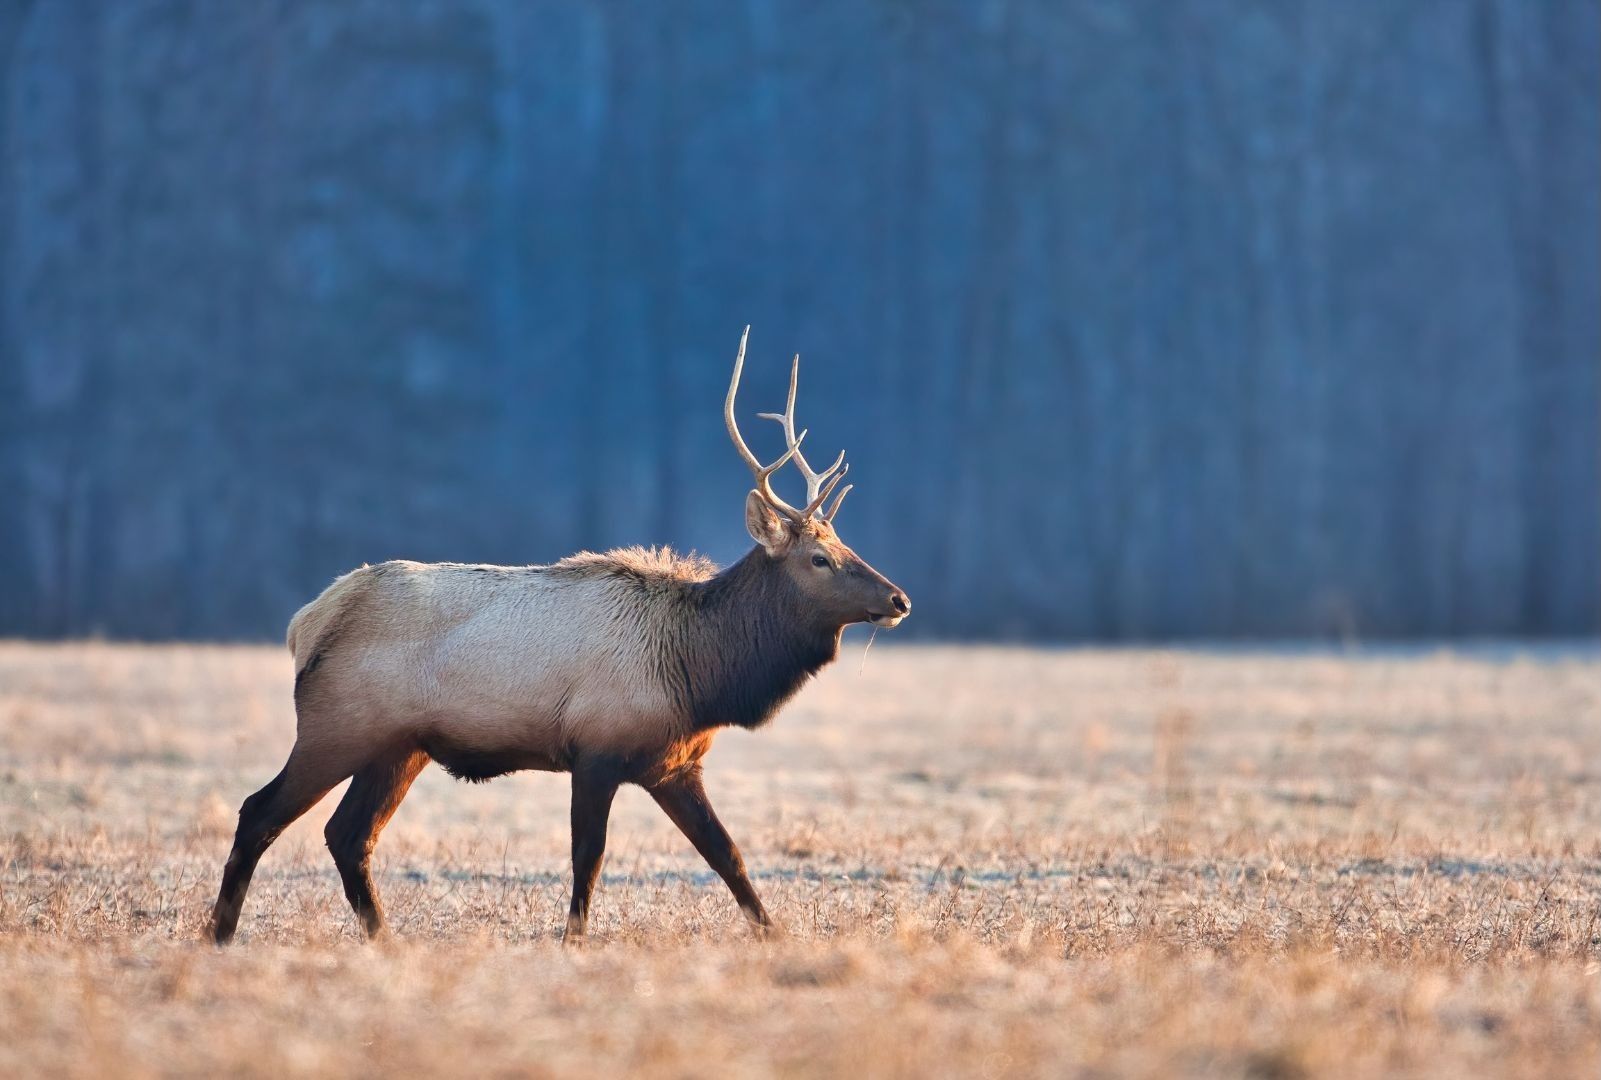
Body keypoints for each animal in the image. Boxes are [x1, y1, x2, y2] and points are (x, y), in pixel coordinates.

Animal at [210, 329, 910, 944]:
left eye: (844, 545)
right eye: (819, 559)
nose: (898, 599)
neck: (698, 671)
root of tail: (308, 623)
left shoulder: (675, 764)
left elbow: (728, 855)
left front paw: (776, 934)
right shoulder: (596, 750)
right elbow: (589, 856)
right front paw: (572, 940)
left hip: (397, 746)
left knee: (348, 835)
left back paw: (382, 938)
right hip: (337, 729)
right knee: (260, 812)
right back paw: (218, 933)